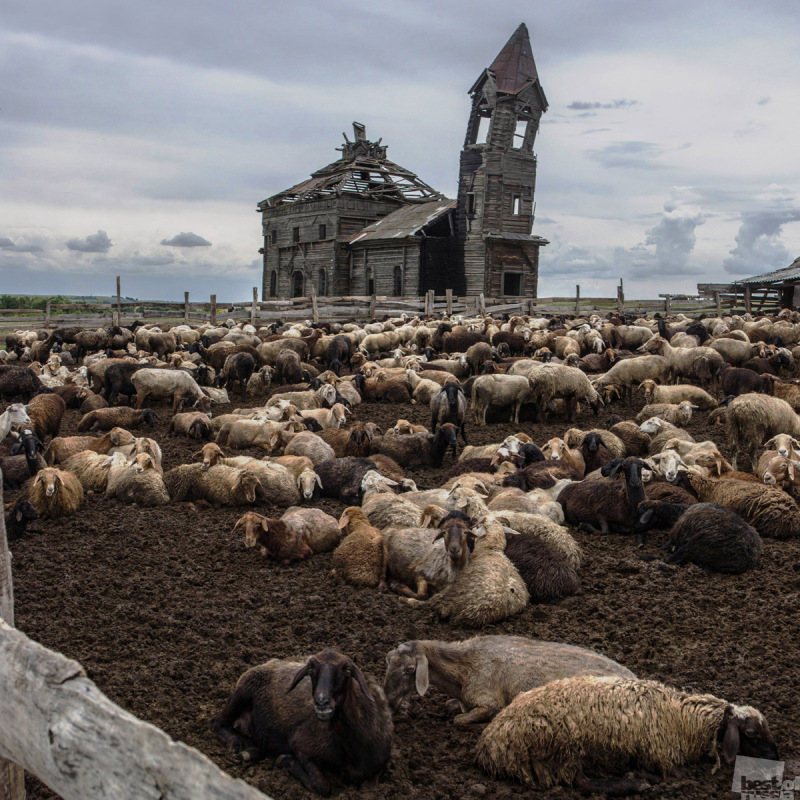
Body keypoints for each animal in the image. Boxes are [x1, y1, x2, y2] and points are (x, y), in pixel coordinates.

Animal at [209, 648, 390, 796]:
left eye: (346, 670)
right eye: (311, 670)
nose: (321, 702)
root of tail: (273, 661)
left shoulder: (381, 765)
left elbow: (369, 787)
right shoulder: (302, 745)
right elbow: (322, 786)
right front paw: (285, 760)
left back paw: (249, 752)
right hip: (243, 690)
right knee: (216, 722)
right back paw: (235, 745)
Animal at [478, 676, 780, 792]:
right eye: (751, 733)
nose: (777, 757)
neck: (682, 718)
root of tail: (490, 744)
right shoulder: (662, 754)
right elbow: (677, 773)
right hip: (562, 746)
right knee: (582, 782)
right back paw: (634, 782)